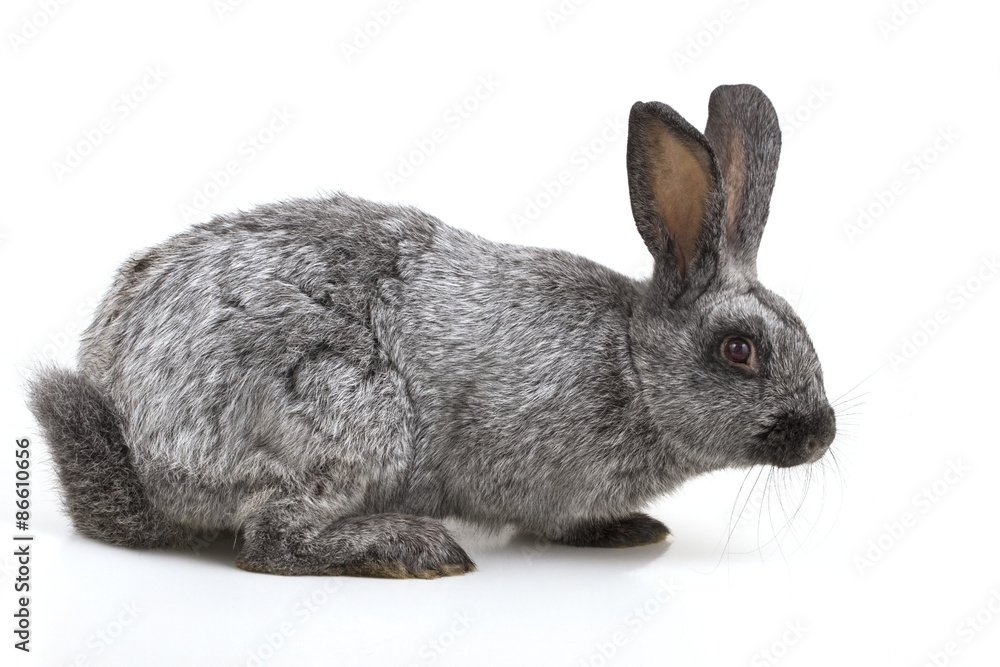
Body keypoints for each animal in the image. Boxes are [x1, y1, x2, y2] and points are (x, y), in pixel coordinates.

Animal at [27, 84, 836, 578]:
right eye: (739, 350)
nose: (822, 432)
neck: (632, 364)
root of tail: (133, 428)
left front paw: (626, 528)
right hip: (351, 411)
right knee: (272, 537)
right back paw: (413, 549)